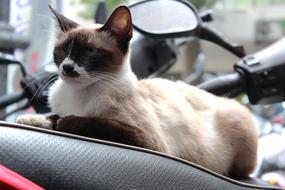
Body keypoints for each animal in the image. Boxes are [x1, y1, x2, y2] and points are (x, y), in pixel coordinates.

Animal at [16, 5, 258, 177]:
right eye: (62, 51)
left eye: (90, 52)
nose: (67, 67)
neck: (81, 94)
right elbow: (52, 116)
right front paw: (32, 119)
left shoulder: (149, 141)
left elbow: (86, 121)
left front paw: (63, 122)